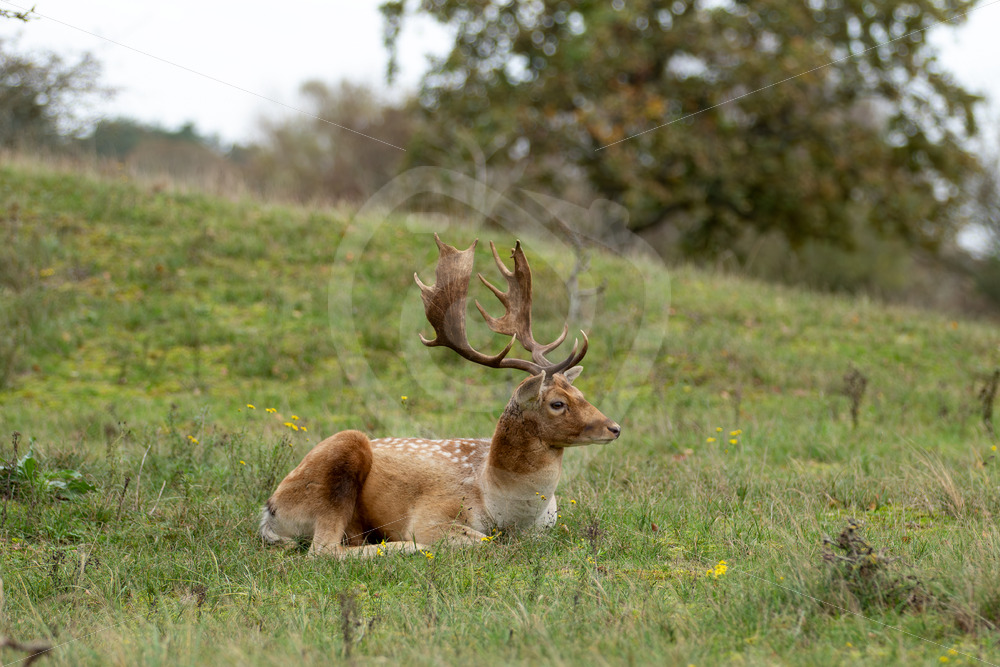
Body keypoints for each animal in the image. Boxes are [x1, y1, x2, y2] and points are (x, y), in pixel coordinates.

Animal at [259, 235, 621, 557]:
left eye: (580, 392)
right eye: (557, 403)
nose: (614, 427)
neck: (505, 510)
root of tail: (270, 509)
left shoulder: (547, 526)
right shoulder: (432, 515)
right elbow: (488, 544)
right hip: (341, 454)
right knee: (323, 550)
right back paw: (403, 547)